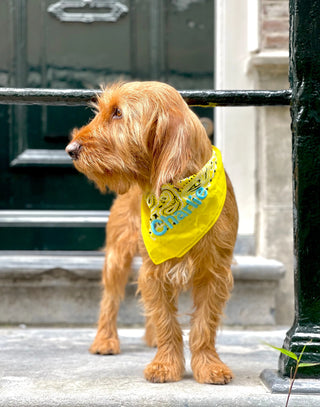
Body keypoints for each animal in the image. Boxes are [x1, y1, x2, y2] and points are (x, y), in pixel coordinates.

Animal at [66, 81, 239, 384]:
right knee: (110, 299)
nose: (70, 148)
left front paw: (208, 364)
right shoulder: (154, 270)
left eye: (118, 113)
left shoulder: (214, 272)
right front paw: (165, 364)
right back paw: (105, 339)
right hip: (117, 256)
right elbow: (165, 320)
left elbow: (203, 324)